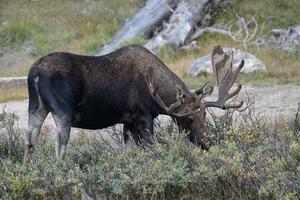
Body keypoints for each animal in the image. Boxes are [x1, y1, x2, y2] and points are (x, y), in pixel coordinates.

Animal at [24, 45, 245, 159]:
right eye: (187, 119)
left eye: (204, 114)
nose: (209, 142)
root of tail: (34, 72)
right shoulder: (143, 116)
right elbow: (151, 147)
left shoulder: (127, 121)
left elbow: (131, 151)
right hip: (62, 111)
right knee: (59, 147)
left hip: (36, 108)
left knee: (30, 144)